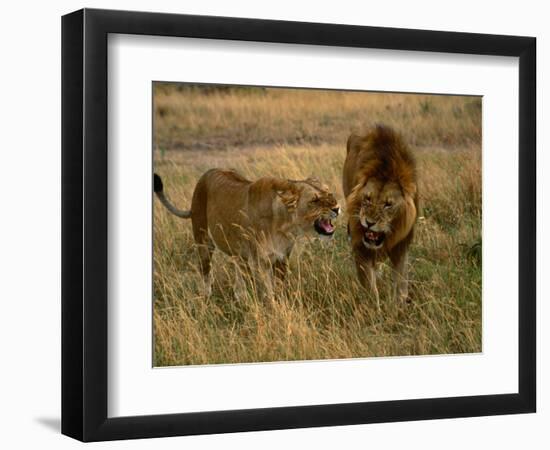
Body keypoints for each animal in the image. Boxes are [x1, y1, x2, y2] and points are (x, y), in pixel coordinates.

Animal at [154, 171, 340, 300]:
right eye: (314, 200)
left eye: (329, 194)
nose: (337, 208)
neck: (285, 225)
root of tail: (206, 175)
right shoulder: (260, 261)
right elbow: (268, 291)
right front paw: (272, 310)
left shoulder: (282, 257)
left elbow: (278, 287)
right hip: (203, 241)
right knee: (206, 273)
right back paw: (207, 298)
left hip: (239, 253)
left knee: (239, 272)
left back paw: (241, 298)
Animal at [344, 125, 418, 308]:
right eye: (367, 199)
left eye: (388, 204)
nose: (369, 223)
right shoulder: (360, 244)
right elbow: (369, 286)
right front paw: (374, 310)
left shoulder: (401, 244)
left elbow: (401, 281)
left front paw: (399, 307)